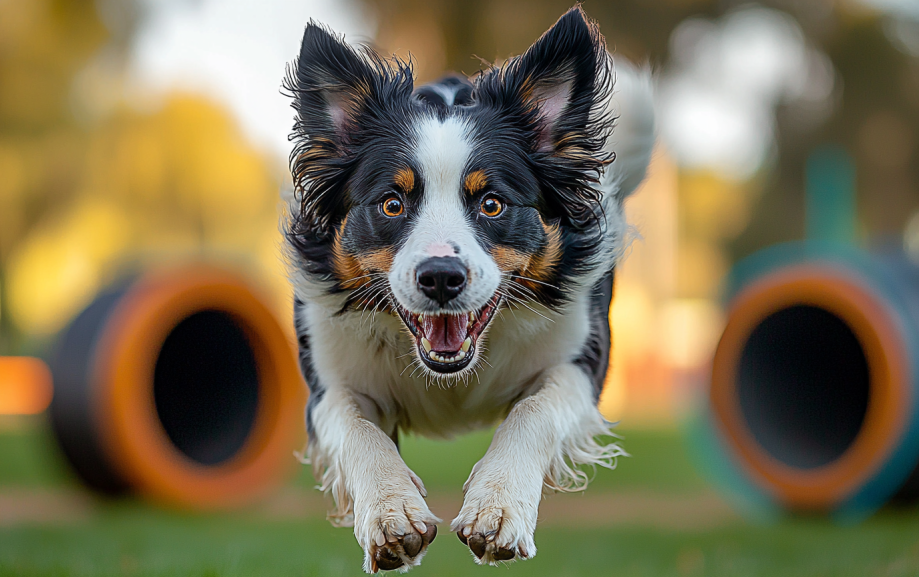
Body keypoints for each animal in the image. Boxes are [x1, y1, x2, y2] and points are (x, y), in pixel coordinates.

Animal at [286, 5, 656, 572]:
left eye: (492, 204)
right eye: (391, 203)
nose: (441, 276)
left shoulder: (581, 358)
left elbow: (534, 411)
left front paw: (498, 510)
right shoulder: (329, 376)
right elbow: (356, 429)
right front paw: (392, 514)